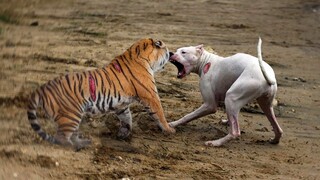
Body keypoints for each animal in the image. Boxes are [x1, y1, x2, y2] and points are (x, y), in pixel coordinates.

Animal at [27, 38, 176, 150]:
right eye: (166, 50)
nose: (171, 52)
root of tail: (43, 88)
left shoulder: (121, 105)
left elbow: (127, 119)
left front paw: (123, 134)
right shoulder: (151, 95)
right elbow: (159, 113)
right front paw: (169, 130)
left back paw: (83, 142)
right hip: (70, 115)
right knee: (61, 138)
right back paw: (75, 146)